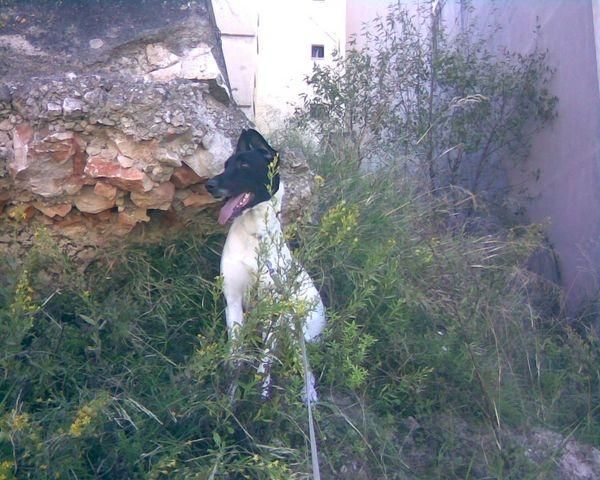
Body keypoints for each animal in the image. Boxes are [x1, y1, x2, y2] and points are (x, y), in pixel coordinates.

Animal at [206, 127, 328, 402]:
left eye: (244, 164)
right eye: (226, 164)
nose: (209, 185)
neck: (255, 236)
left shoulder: (273, 308)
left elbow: (264, 363)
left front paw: (257, 398)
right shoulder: (233, 302)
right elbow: (236, 357)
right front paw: (231, 397)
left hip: (296, 331)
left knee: (305, 367)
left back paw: (309, 396)